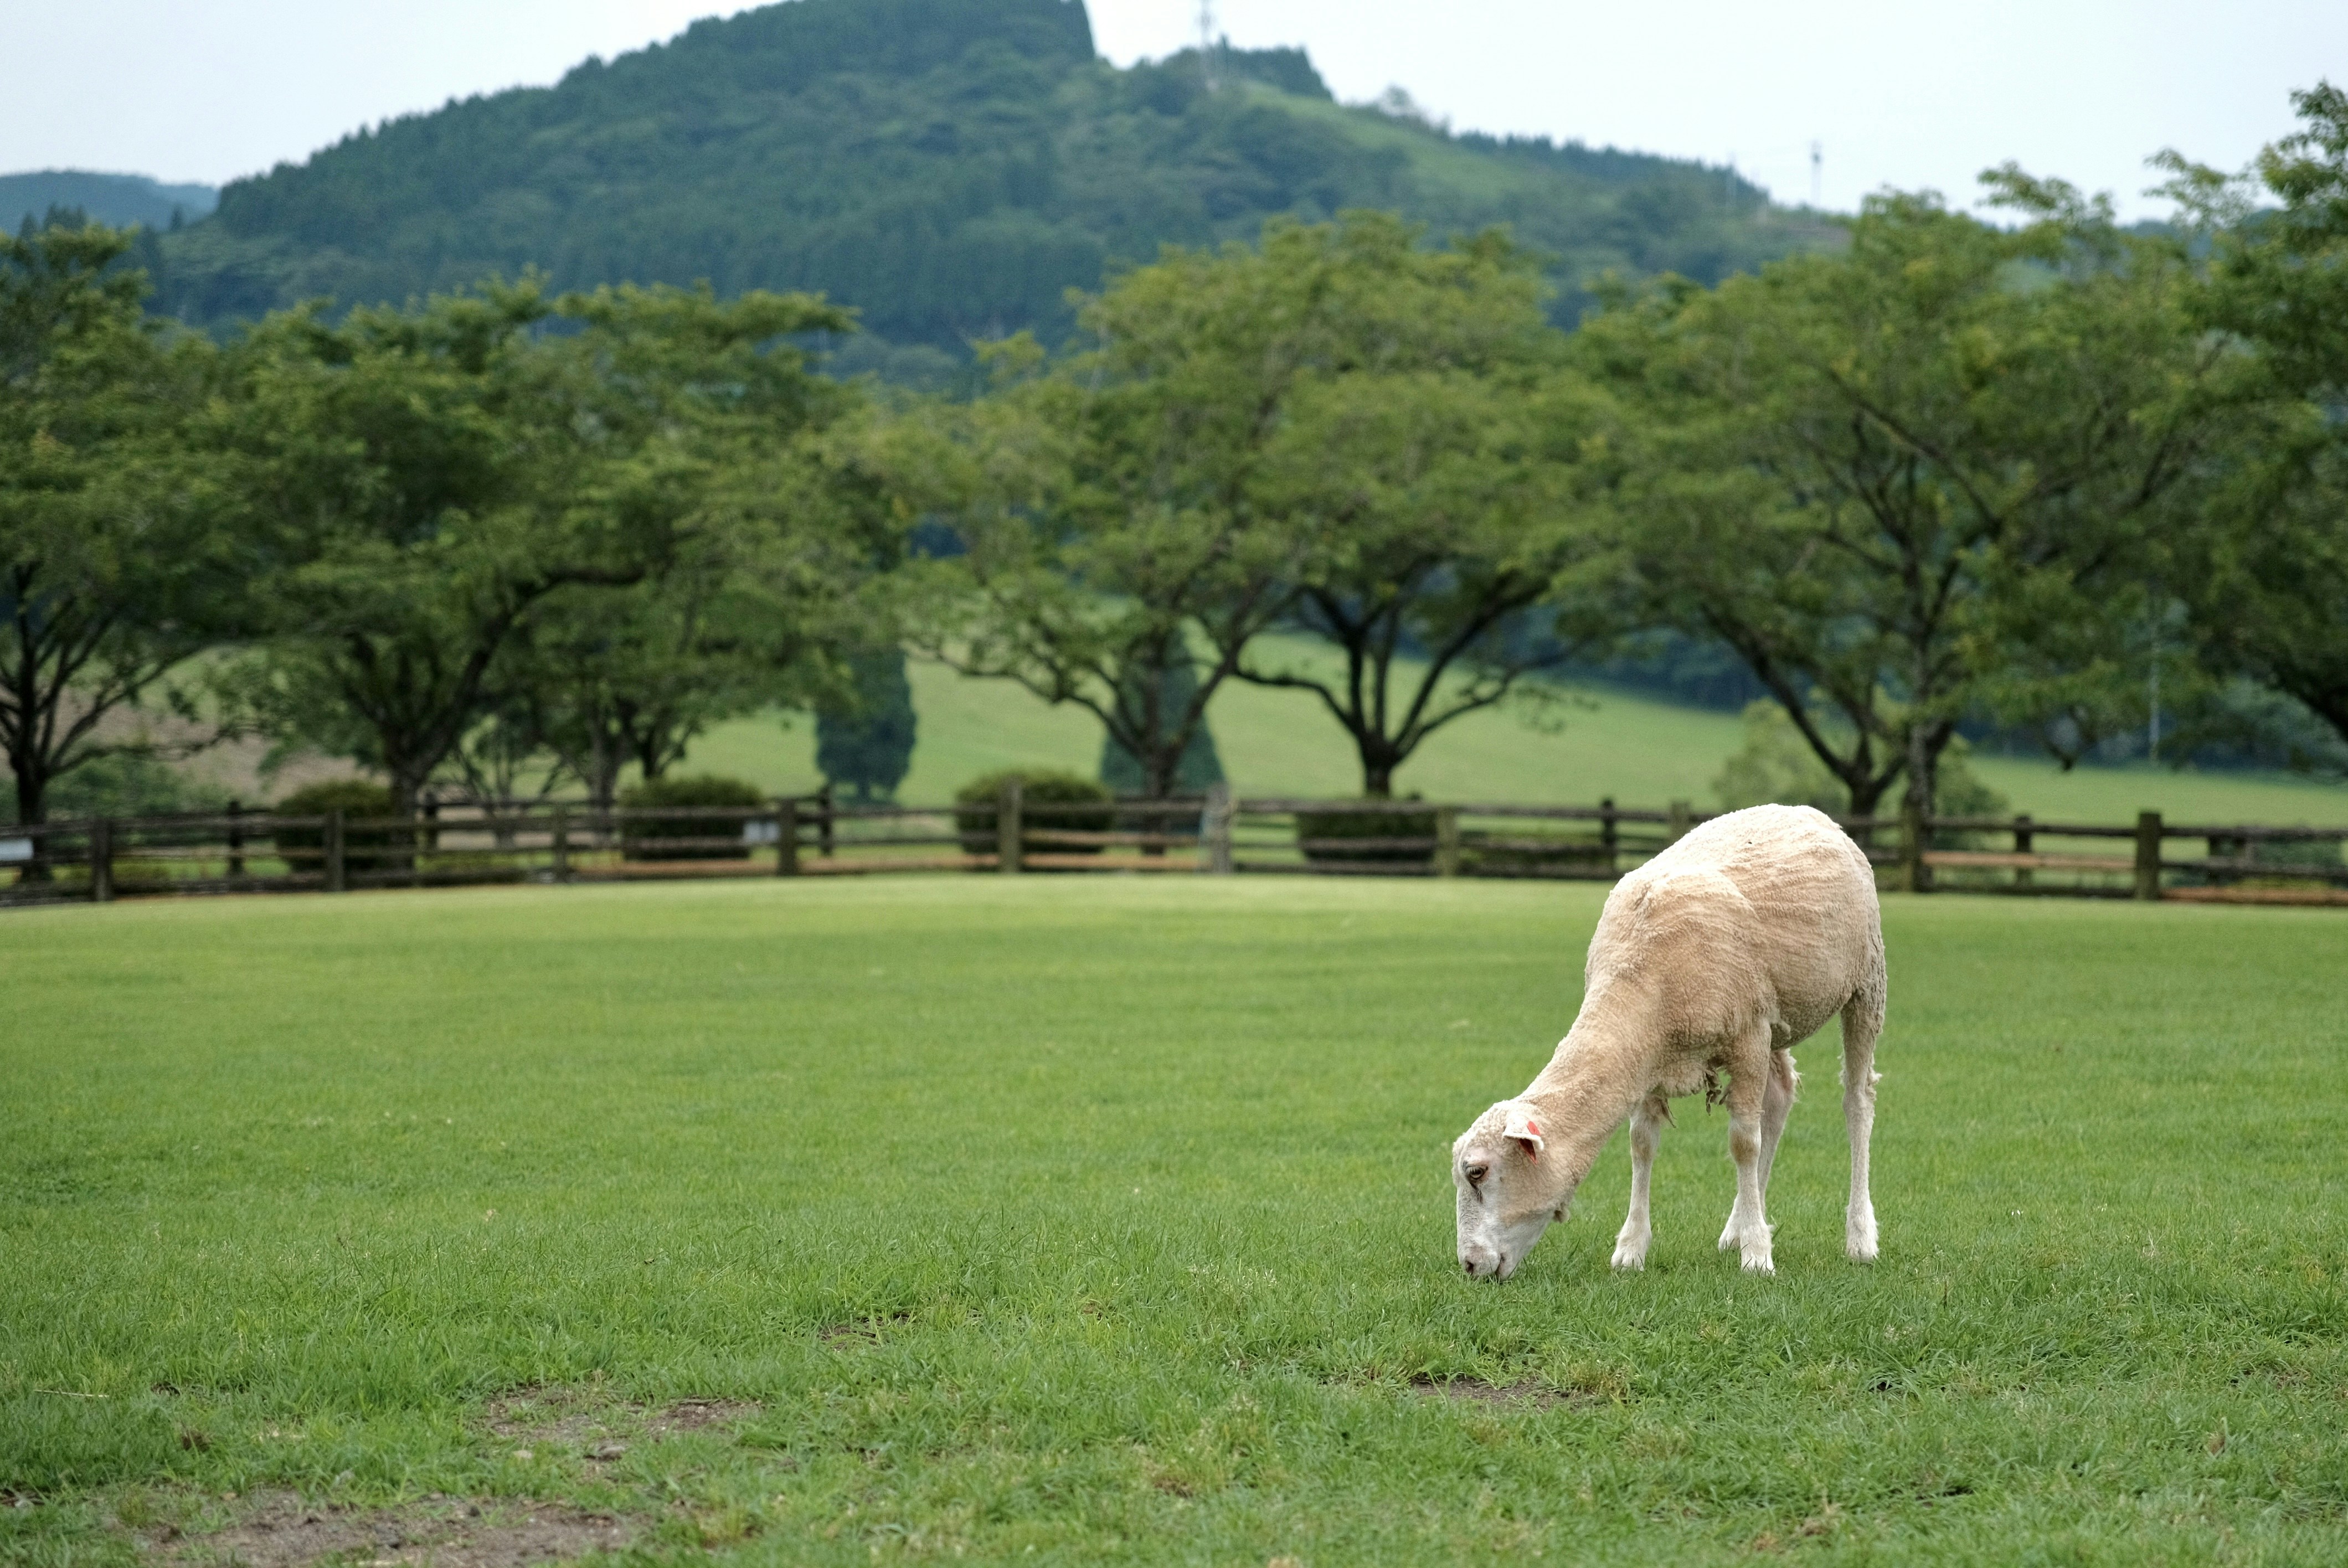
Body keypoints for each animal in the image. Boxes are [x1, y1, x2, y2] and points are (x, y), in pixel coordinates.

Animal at [1451, 803, 1885, 1279]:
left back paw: (1859, 1238)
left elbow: (1743, 1144)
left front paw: (1757, 1256)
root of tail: (1804, 810)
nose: (1469, 1265)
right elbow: (1642, 1143)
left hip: (1866, 982)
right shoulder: (1648, 1057)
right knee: (1780, 1097)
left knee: (1857, 1101)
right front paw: (1631, 1250)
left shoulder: (1746, 1039)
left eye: (1477, 1172)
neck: (1641, 979)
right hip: (1777, 1016)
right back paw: (1737, 1228)